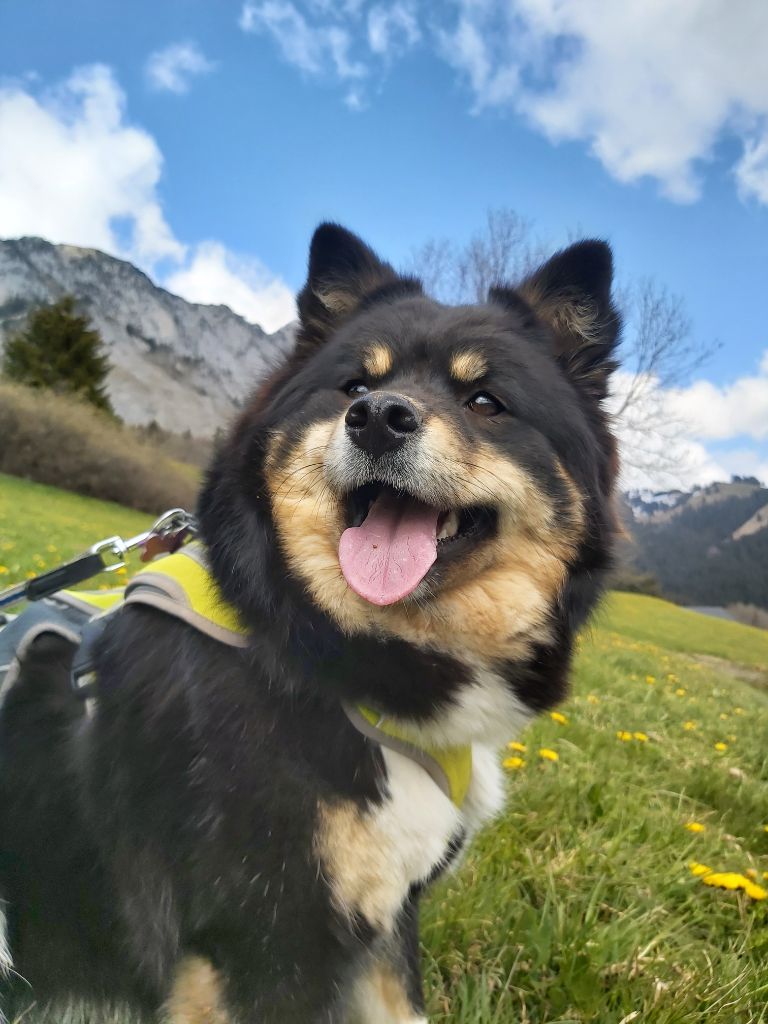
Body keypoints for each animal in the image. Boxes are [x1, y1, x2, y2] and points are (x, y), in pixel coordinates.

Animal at [0, 220, 622, 1019]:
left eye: (486, 401)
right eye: (354, 386)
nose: (379, 418)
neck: (317, 645)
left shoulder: (384, 921)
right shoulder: (260, 940)